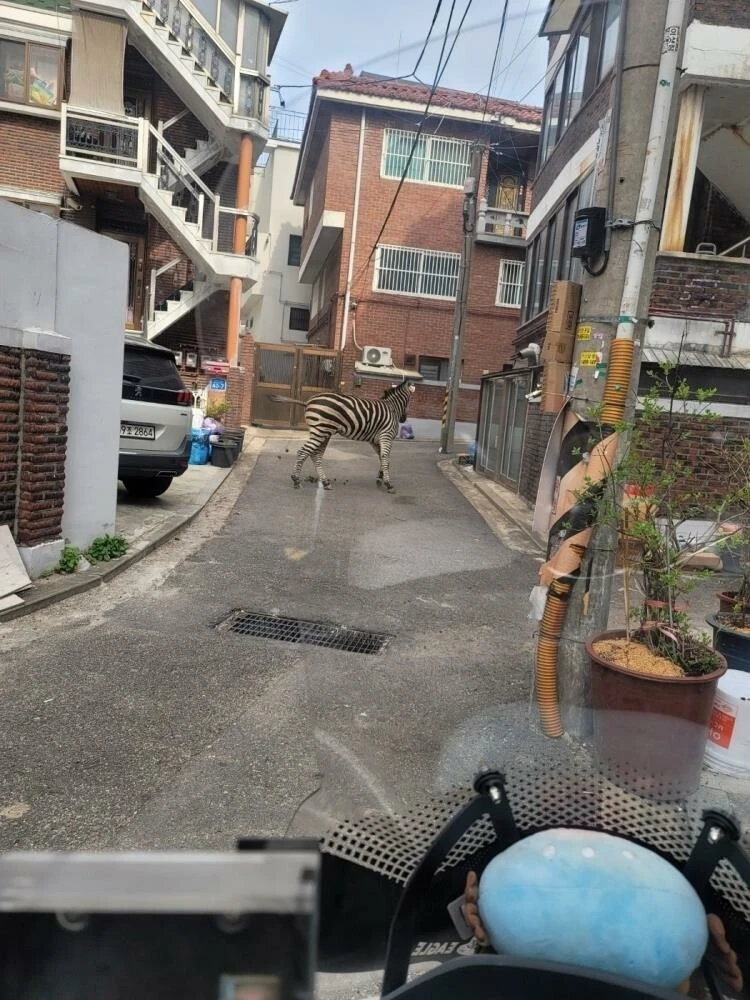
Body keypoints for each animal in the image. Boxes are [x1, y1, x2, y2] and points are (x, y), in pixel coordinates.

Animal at [271, 381, 416, 491]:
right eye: (408, 401)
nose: (404, 419)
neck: (393, 408)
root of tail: (308, 401)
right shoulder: (386, 435)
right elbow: (385, 458)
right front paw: (388, 484)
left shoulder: (375, 440)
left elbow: (382, 458)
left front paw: (380, 478)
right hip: (320, 431)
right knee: (303, 452)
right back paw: (296, 480)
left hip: (323, 432)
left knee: (315, 456)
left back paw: (325, 482)